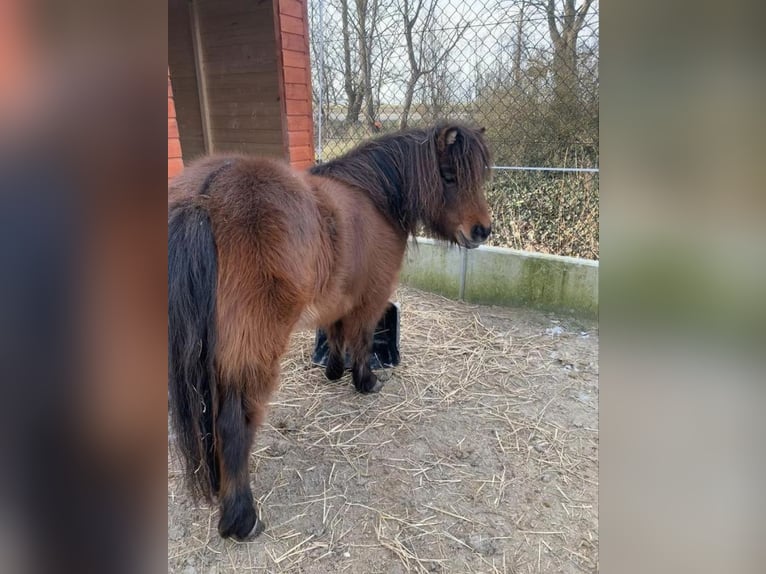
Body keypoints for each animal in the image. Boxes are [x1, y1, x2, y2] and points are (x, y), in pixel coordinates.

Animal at [167, 121, 492, 540]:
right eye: (449, 176)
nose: (483, 230)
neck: (373, 197)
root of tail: (206, 193)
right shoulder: (371, 298)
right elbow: (362, 339)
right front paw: (365, 381)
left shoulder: (338, 297)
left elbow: (335, 332)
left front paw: (334, 371)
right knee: (233, 425)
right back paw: (242, 518)